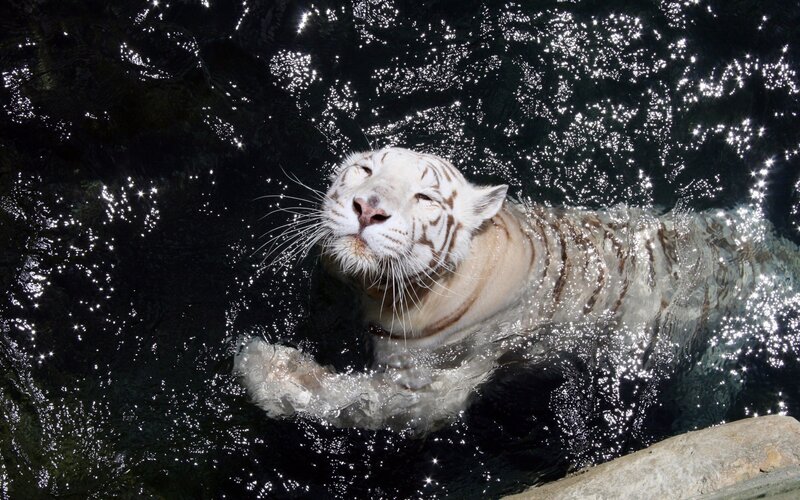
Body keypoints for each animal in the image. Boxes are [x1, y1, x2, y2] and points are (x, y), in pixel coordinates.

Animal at [234, 147, 800, 431]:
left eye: (423, 197)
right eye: (365, 170)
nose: (368, 208)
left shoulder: (440, 385)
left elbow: (355, 399)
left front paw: (263, 369)